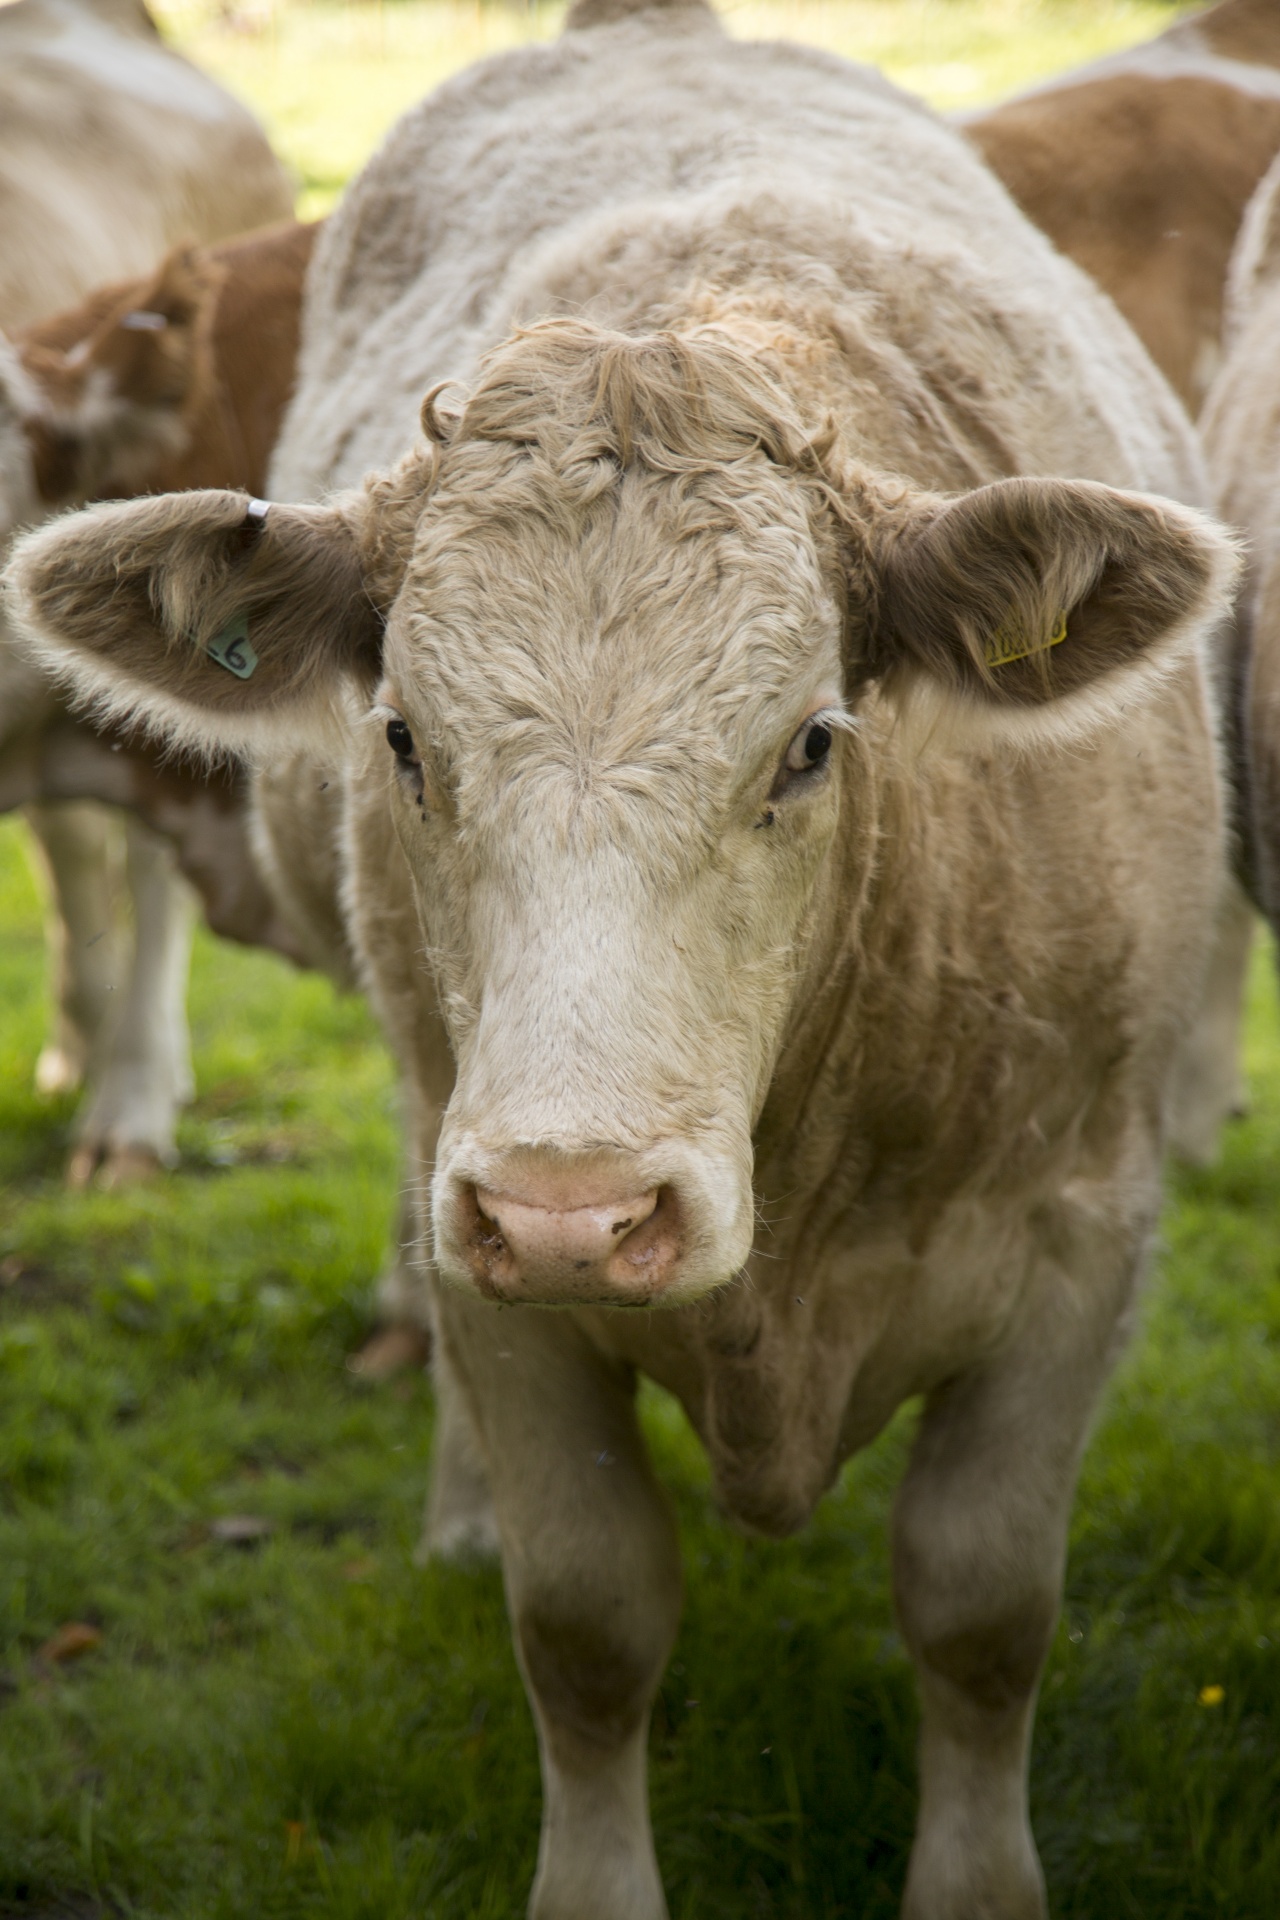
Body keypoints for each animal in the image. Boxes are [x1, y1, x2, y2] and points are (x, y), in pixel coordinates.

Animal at [0, 0, 1243, 1912]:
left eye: (809, 743)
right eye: (403, 739)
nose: (573, 1209)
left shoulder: (1082, 1240)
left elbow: (980, 1611)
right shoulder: (501, 1279)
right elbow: (585, 1624)